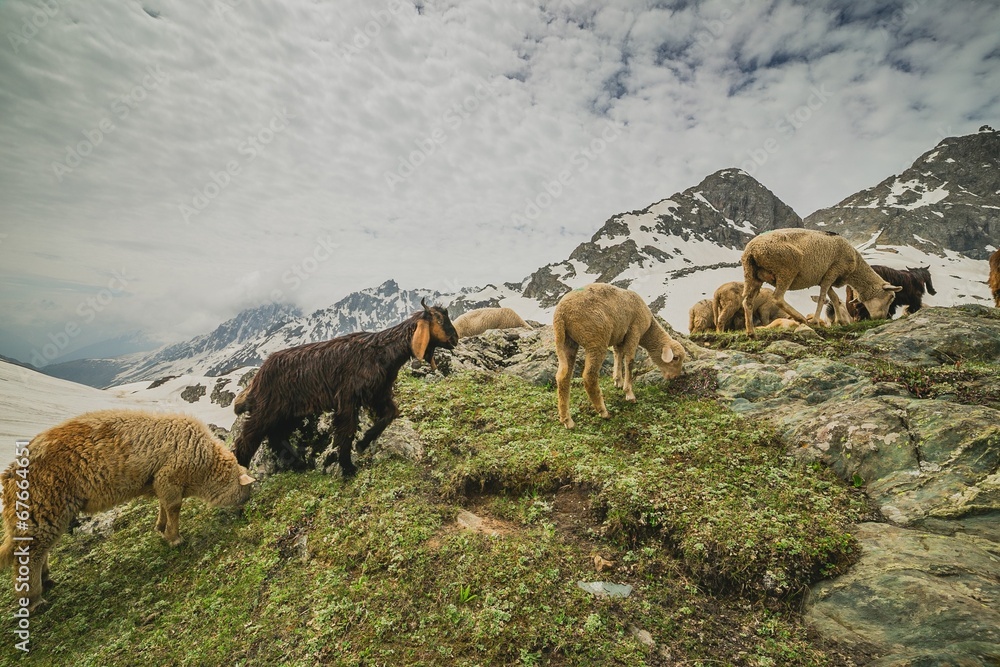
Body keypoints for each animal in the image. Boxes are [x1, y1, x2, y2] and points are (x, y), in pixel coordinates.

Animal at [0, 409, 255, 611]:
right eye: (247, 490)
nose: (245, 512)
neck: (205, 467)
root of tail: (10, 475)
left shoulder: (160, 481)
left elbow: (163, 506)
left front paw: (161, 528)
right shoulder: (170, 478)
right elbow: (173, 507)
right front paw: (175, 538)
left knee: (39, 549)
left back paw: (45, 579)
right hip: (44, 506)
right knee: (30, 553)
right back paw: (34, 599)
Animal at [232, 299, 458, 476]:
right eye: (439, 319)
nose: (455, 339)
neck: (380, 352)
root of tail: (259, 375)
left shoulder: (378, 394)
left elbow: (391, 413)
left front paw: (363, 443)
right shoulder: (348, 397)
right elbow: (346, 430)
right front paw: (348, 468)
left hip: (288, 411)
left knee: (277, 436)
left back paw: (298, 463)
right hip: (267, 409)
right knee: (248, 438)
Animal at [553, 283, 685, 429]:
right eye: (675, 358)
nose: (675, 377)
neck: (648, 328)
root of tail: (561, 315)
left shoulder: (620, 336)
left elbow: (618, 354)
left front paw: (617, 380)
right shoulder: (634, 331)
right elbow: (629, 361)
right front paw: (629, 393)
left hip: (568, 342)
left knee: (562, 378)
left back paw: (567, 420)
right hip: (595, 340)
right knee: (589, 376)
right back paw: (603, 412)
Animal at [740, 229, 902, 336]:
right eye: (891, 297)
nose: (882, 318)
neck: (855, 267)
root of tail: (751, 250)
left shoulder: (826, 276)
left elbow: (834, 297)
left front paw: (841, 321)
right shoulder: (833, 270)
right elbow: (823, 297)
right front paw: (816, 321)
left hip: (753, 275)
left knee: (747, 302)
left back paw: (751, 332)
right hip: (786, 270)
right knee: (777, 298)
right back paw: (801, 318)